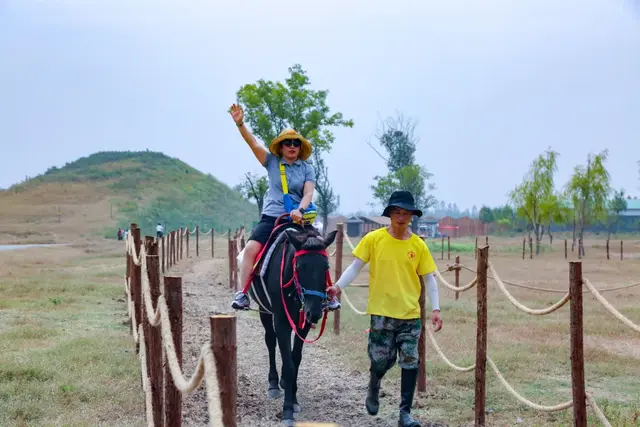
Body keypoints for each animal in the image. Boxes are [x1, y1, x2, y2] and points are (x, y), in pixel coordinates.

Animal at [248, 222, 340, 426]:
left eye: (326, 266)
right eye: (299, 266)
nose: (315, 312)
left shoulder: (302, 324)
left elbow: (295, 359)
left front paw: (294, 398)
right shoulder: (281, 321)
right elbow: (288, 362)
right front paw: (288, 410)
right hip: (264, 312)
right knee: (270, 341)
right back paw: (274, 383)